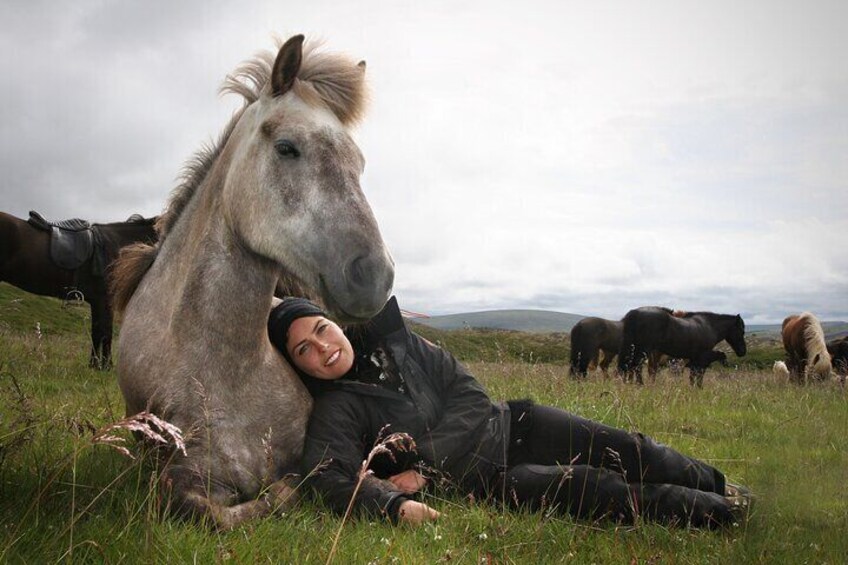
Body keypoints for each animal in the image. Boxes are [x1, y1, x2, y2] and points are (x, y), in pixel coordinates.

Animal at [0, 209, 157, 368]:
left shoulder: (97, 302)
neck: (120, 245)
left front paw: (94, 365)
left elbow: (97, 332)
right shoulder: (105, 300)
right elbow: (106, 332)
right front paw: (106, 366)